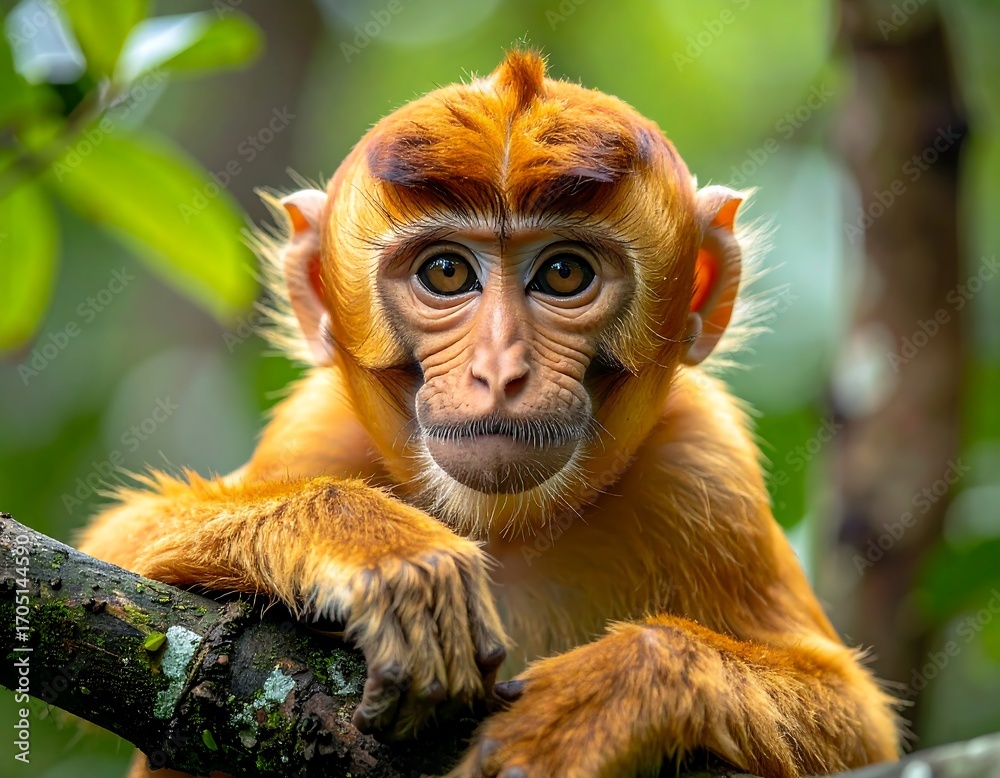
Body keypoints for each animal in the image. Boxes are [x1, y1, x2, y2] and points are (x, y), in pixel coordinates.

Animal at [77, 49, 901, 778]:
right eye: (447, 272)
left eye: (564, 273)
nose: (500, 371)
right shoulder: (316, 433)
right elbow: (111, 557)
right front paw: (379, 550)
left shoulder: (704, 463)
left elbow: (860, 724)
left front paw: (603, 700)